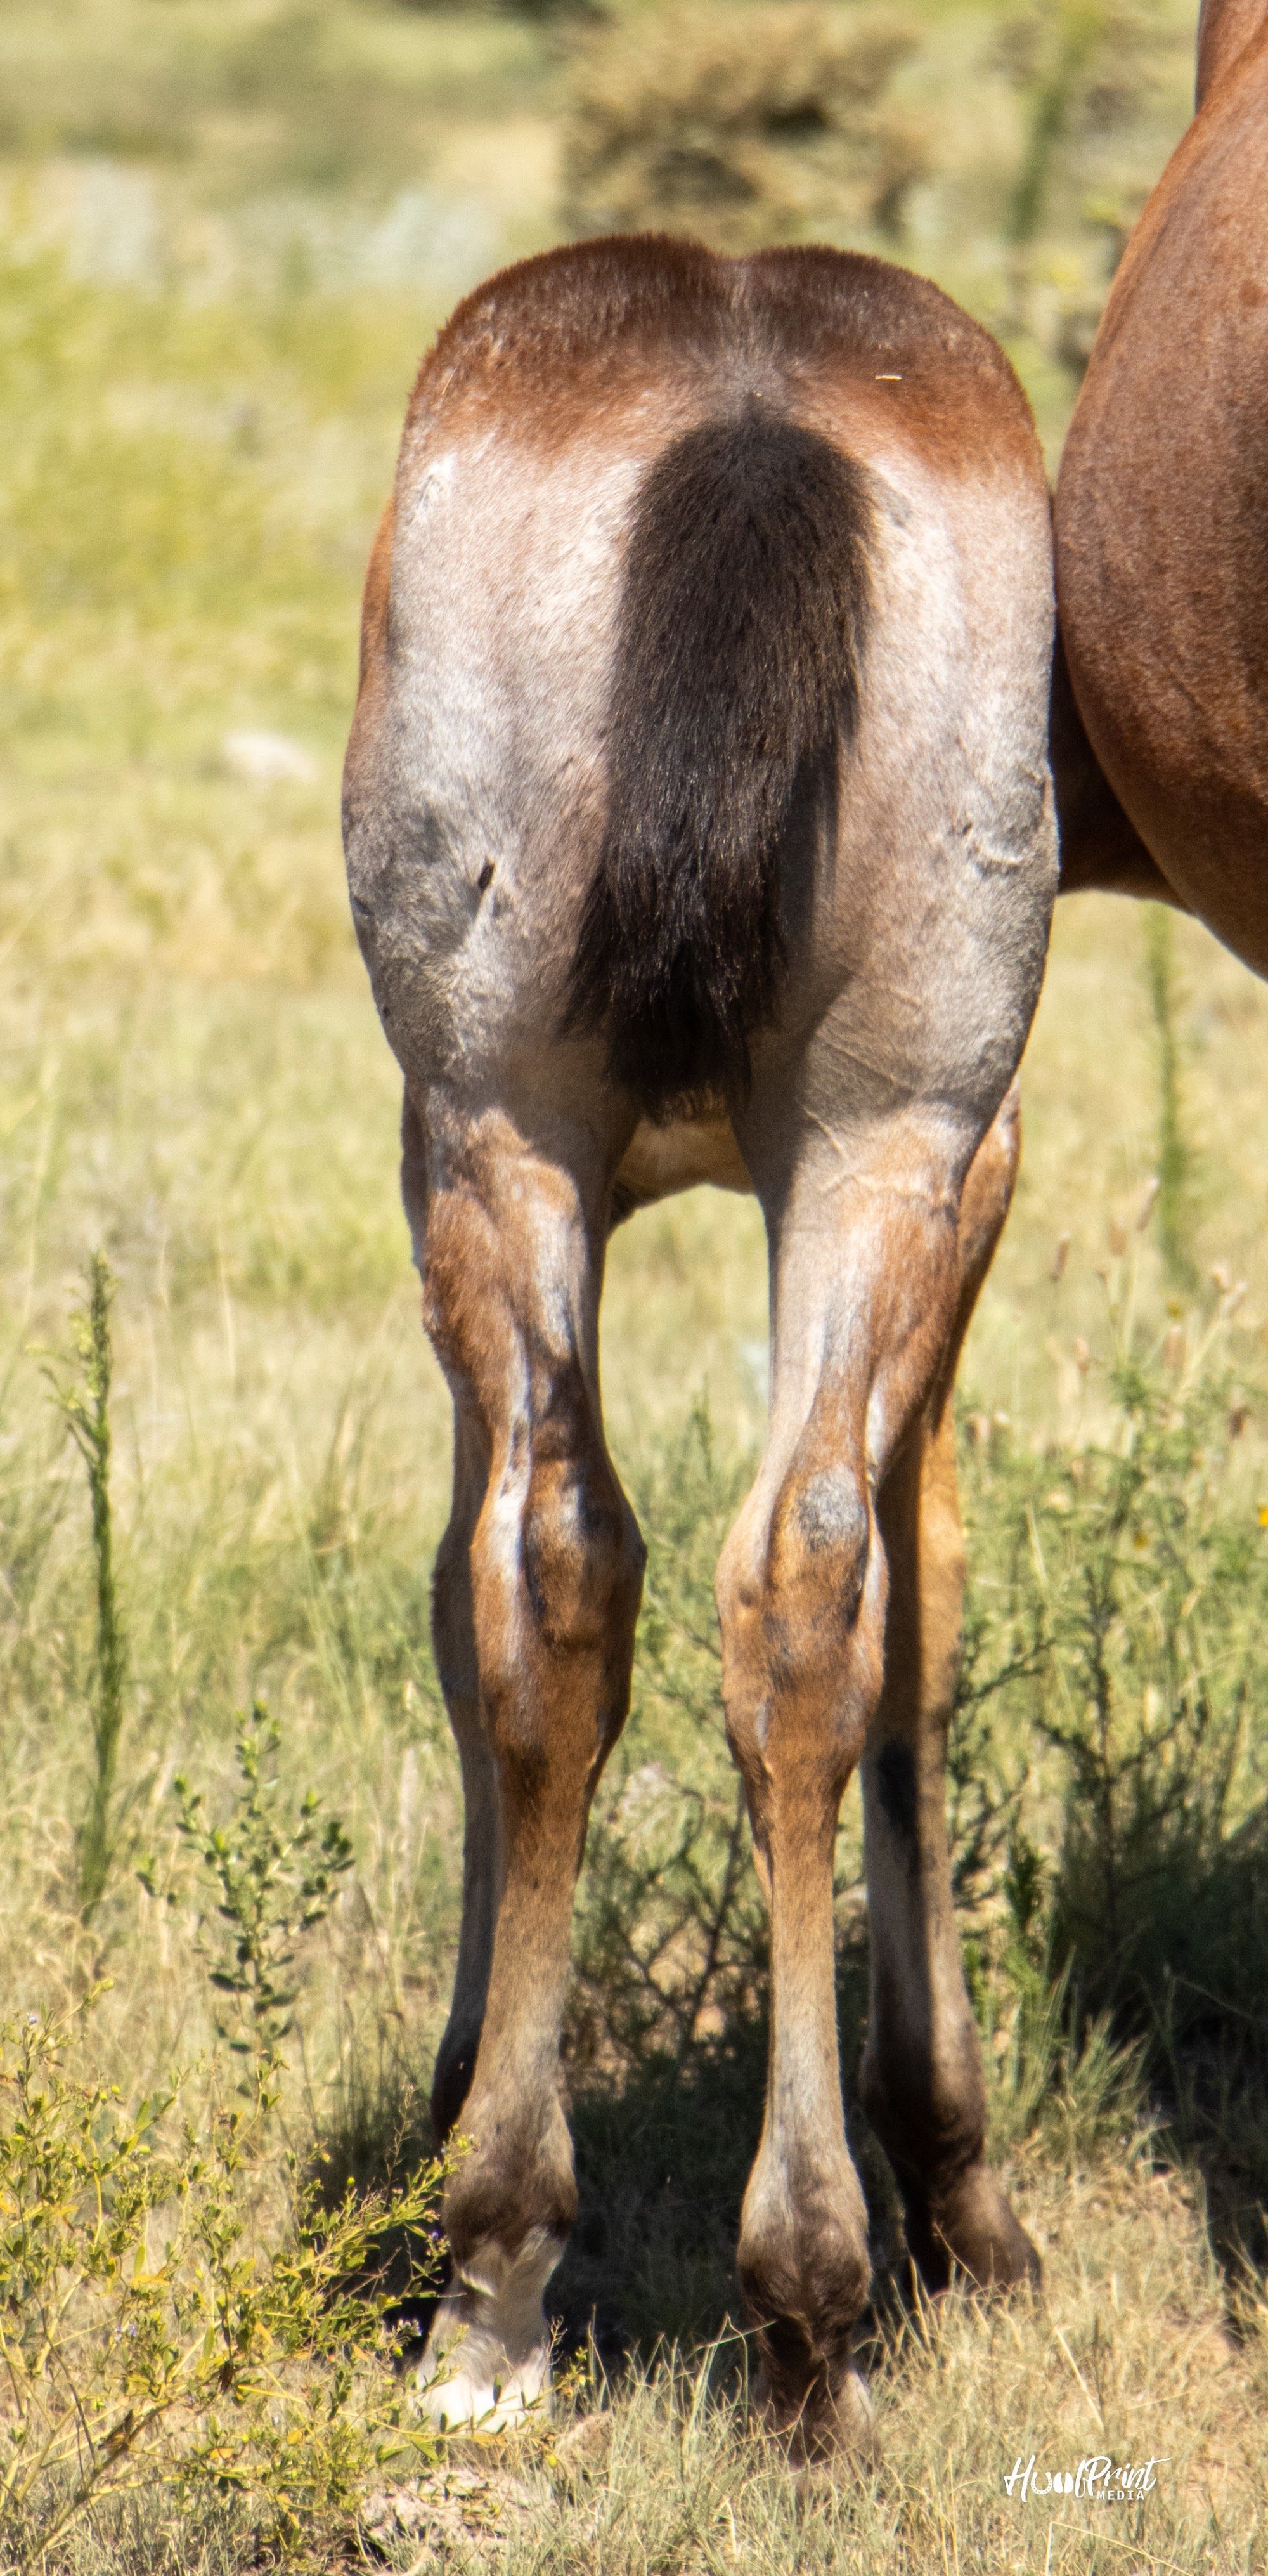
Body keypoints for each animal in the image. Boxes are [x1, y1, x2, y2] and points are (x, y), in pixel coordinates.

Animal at [342, 231, 1056, 2458]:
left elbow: (466, 1594)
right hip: (857, 1143)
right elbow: (916, 1593)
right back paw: (788, 2304)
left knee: (606, 1563)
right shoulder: (968, 1167)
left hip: (537, 1136)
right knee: (776, 1576)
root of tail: (745, 409)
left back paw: (532, 2268)